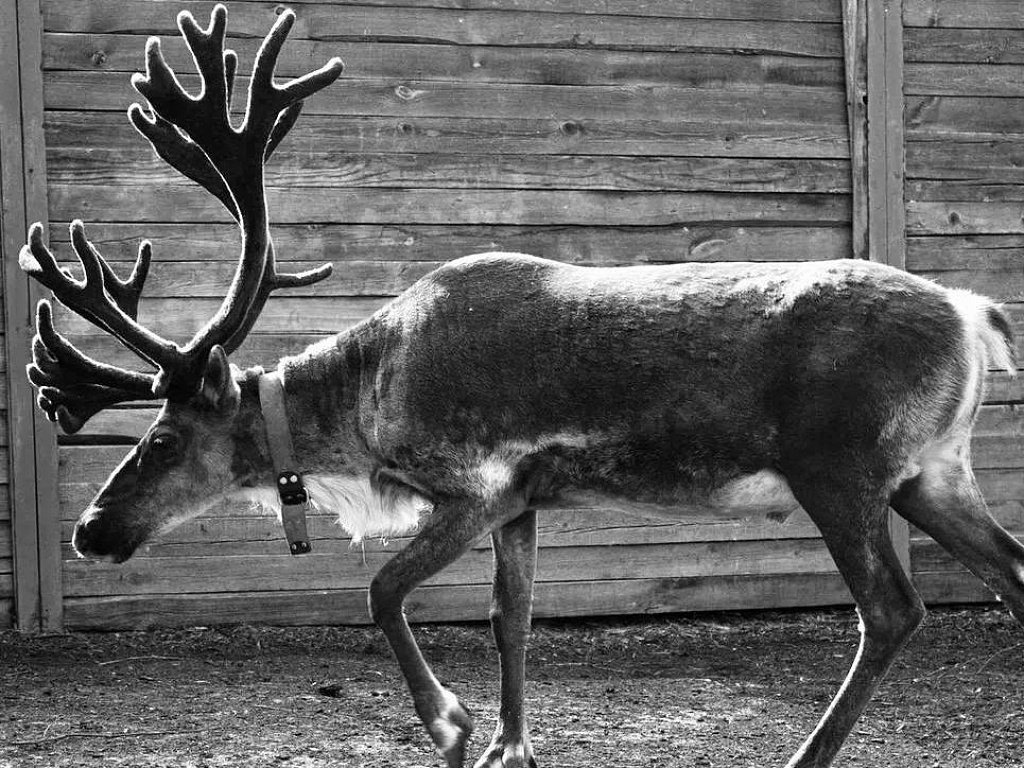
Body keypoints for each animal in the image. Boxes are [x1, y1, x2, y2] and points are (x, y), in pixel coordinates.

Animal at [18, 5, 1024, 768]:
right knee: (1011, 575)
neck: (368, 409)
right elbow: (513, 616)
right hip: (934, 473)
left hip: (840, 470)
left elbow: (381, 591)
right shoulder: (524, 501)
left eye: (159, 439)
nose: (89, 530)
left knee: (893, 610)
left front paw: (449, 725)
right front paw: (512, 744)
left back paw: (804, 756)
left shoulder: (472, 486)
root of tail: (974, 313)